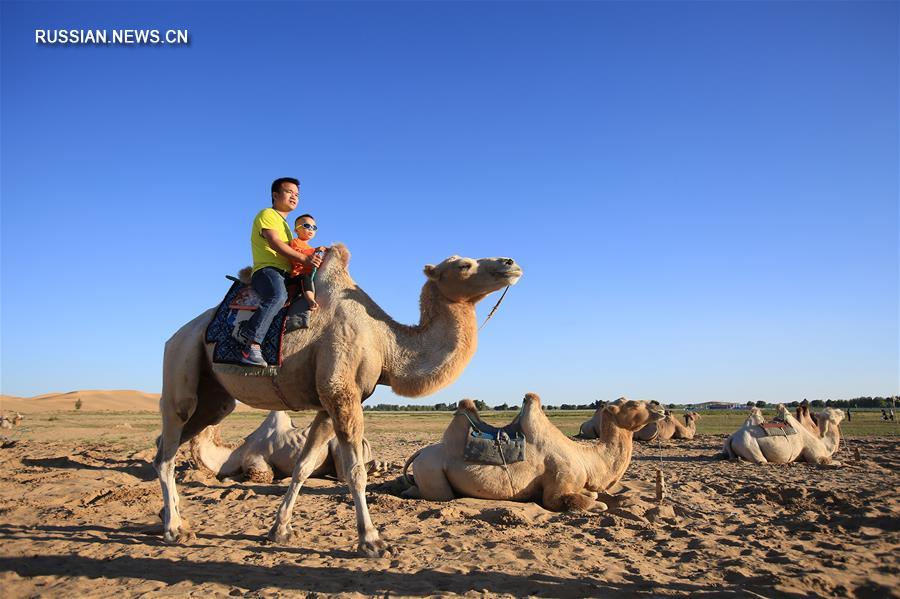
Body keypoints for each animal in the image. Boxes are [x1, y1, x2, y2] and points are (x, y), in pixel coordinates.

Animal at [192, 410, 380, 486]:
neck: (237, 452)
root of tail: (364, 440)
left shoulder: (258, 463)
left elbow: (257, 475)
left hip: (335, 445)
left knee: (342, 475)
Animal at [404, 394, 664, 510]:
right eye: (632, 403)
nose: (660, 406)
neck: (585, 459)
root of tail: (419, 453)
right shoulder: (557, 487)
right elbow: (588, 502)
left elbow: (592, 494)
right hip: (431, 470)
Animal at [716, 406, 844, 466]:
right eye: (834, 413)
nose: (842, 413)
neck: (824, 444)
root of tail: (732, 438)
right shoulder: (816, 456)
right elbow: (834, 461)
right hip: (749, 445)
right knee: (760, 461)